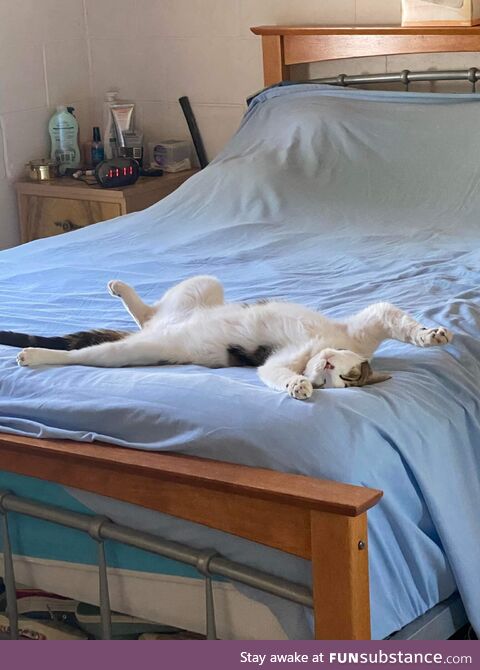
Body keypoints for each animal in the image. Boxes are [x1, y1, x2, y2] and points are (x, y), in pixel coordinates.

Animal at [4, 276, 454, 402]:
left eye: (341, 381)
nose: (325, 366)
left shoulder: (273, 362)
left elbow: (275, 373)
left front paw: (298, 386)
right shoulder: (364, 326)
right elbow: (397, 318)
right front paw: (432, 333)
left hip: (138, 350)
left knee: (98, 348)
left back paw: (34, 354)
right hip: (206, 284)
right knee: (145, 312)